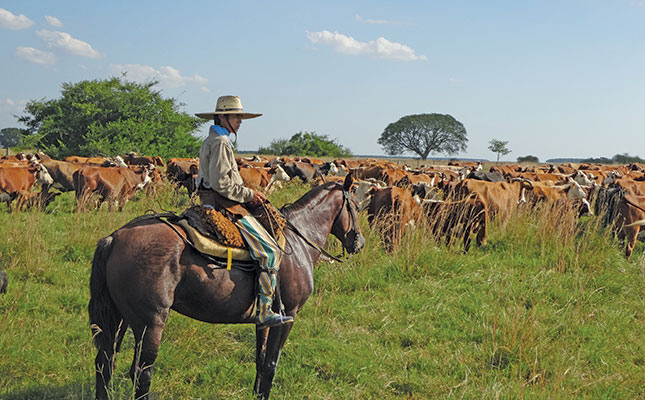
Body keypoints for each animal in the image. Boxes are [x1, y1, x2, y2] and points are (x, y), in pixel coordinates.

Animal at [88, 175, 364, 400]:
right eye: (356, 206)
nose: (358, 242)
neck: (298, 243)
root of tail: (114, 238)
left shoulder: (265, 320)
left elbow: (261, 361)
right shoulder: (288, 316)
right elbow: (271, 364)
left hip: (121, 318)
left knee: (105, 363)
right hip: (150, 323)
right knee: (141, 374)